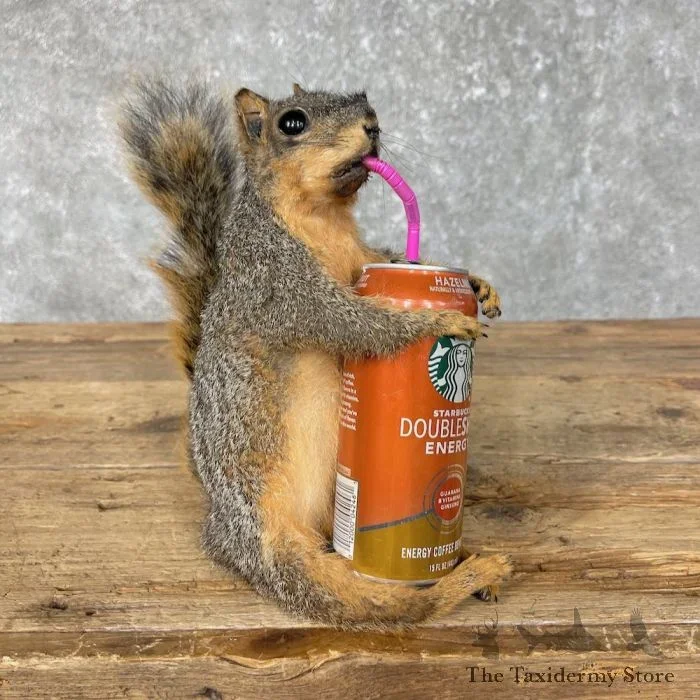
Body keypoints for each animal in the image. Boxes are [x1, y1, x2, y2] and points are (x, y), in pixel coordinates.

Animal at [120, 78, 511, 629]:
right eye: (292, 123)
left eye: (365, 100)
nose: (373, 126)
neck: (324, 218)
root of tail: (219, 521)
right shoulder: (276, 282)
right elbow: (350, 323)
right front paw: (437, 322)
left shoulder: (362, 262)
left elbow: (384, 267)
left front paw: (476, 283)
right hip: (271, 544)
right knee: (382, 605)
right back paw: (464, 576)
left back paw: (467, 562)